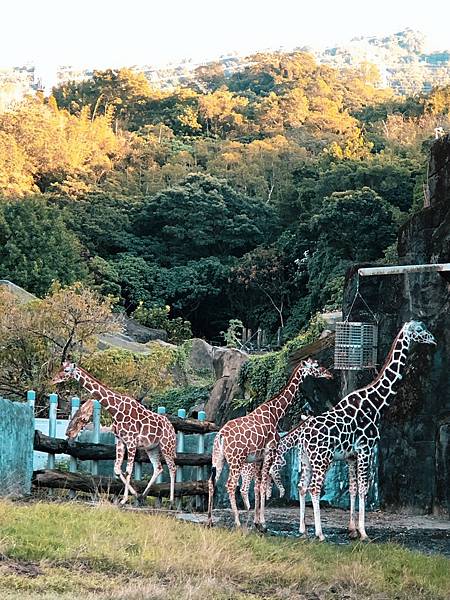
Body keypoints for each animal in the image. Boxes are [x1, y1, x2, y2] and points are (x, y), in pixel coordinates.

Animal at [53, 364, 178, 504]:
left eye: (66, 370)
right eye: (61, 367)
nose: (53, 379)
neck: (116, 410)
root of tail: (171, 427)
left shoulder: (131, 441)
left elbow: (128, 470)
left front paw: (123, 500)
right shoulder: (120, 440)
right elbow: (117, 470)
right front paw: (134, 495)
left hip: (166, 446)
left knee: (172, 468)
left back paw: (171, 501)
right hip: (152, 447)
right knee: (158, 468)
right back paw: (143, 496)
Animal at [206, 358, 332, 528]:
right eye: (317, 366)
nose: (330, 375)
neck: (276, 413)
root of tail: (221, 435)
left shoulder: (258, 458)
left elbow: (258, 486)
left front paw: (256, 521)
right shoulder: (270, 452)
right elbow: (264, 485)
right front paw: (263, 523)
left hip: (218, 458)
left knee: (211, 482)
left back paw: (210, 520)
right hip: (236, 460)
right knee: (230, 485)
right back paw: (237, 521)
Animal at [270, 322, 436, 540]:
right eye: (418, 330)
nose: (433, 340)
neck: (375, 403)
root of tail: (303, 434)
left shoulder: (351, 456)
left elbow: (353, 489)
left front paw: (352, 530)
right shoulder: (366, 449)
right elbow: (364, 489)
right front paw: (364, 533)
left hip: (306, 458)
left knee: (301, 486)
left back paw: (303, 530)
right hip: (322, 459)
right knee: (314, 488)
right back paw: (320, 534)